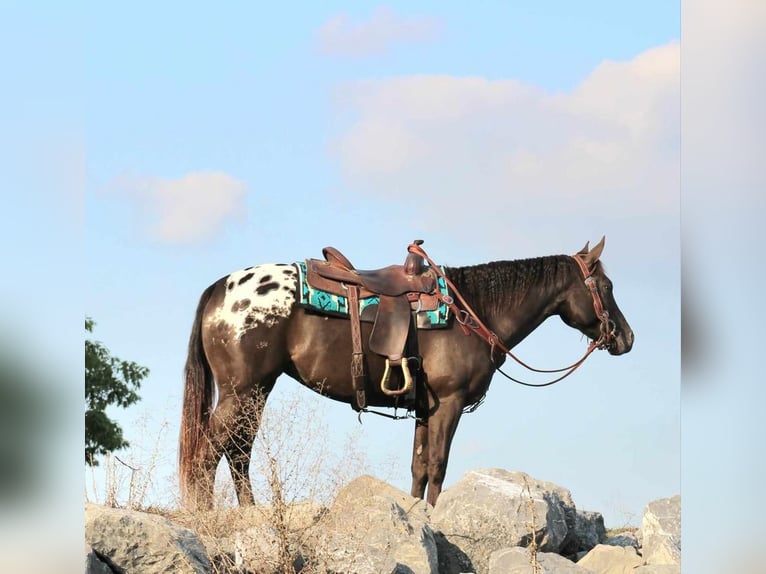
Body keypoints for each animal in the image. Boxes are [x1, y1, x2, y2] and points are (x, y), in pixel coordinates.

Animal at [180, 236, 636, 510]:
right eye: (607, 287)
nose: (627, 337)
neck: (473, 312)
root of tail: (220, 288)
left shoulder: (423, 406)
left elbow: (418, 466)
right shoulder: (448, 403)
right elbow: (437, 464)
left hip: (256, 391)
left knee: (238, 452)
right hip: (242, 391)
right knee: (208, 456)